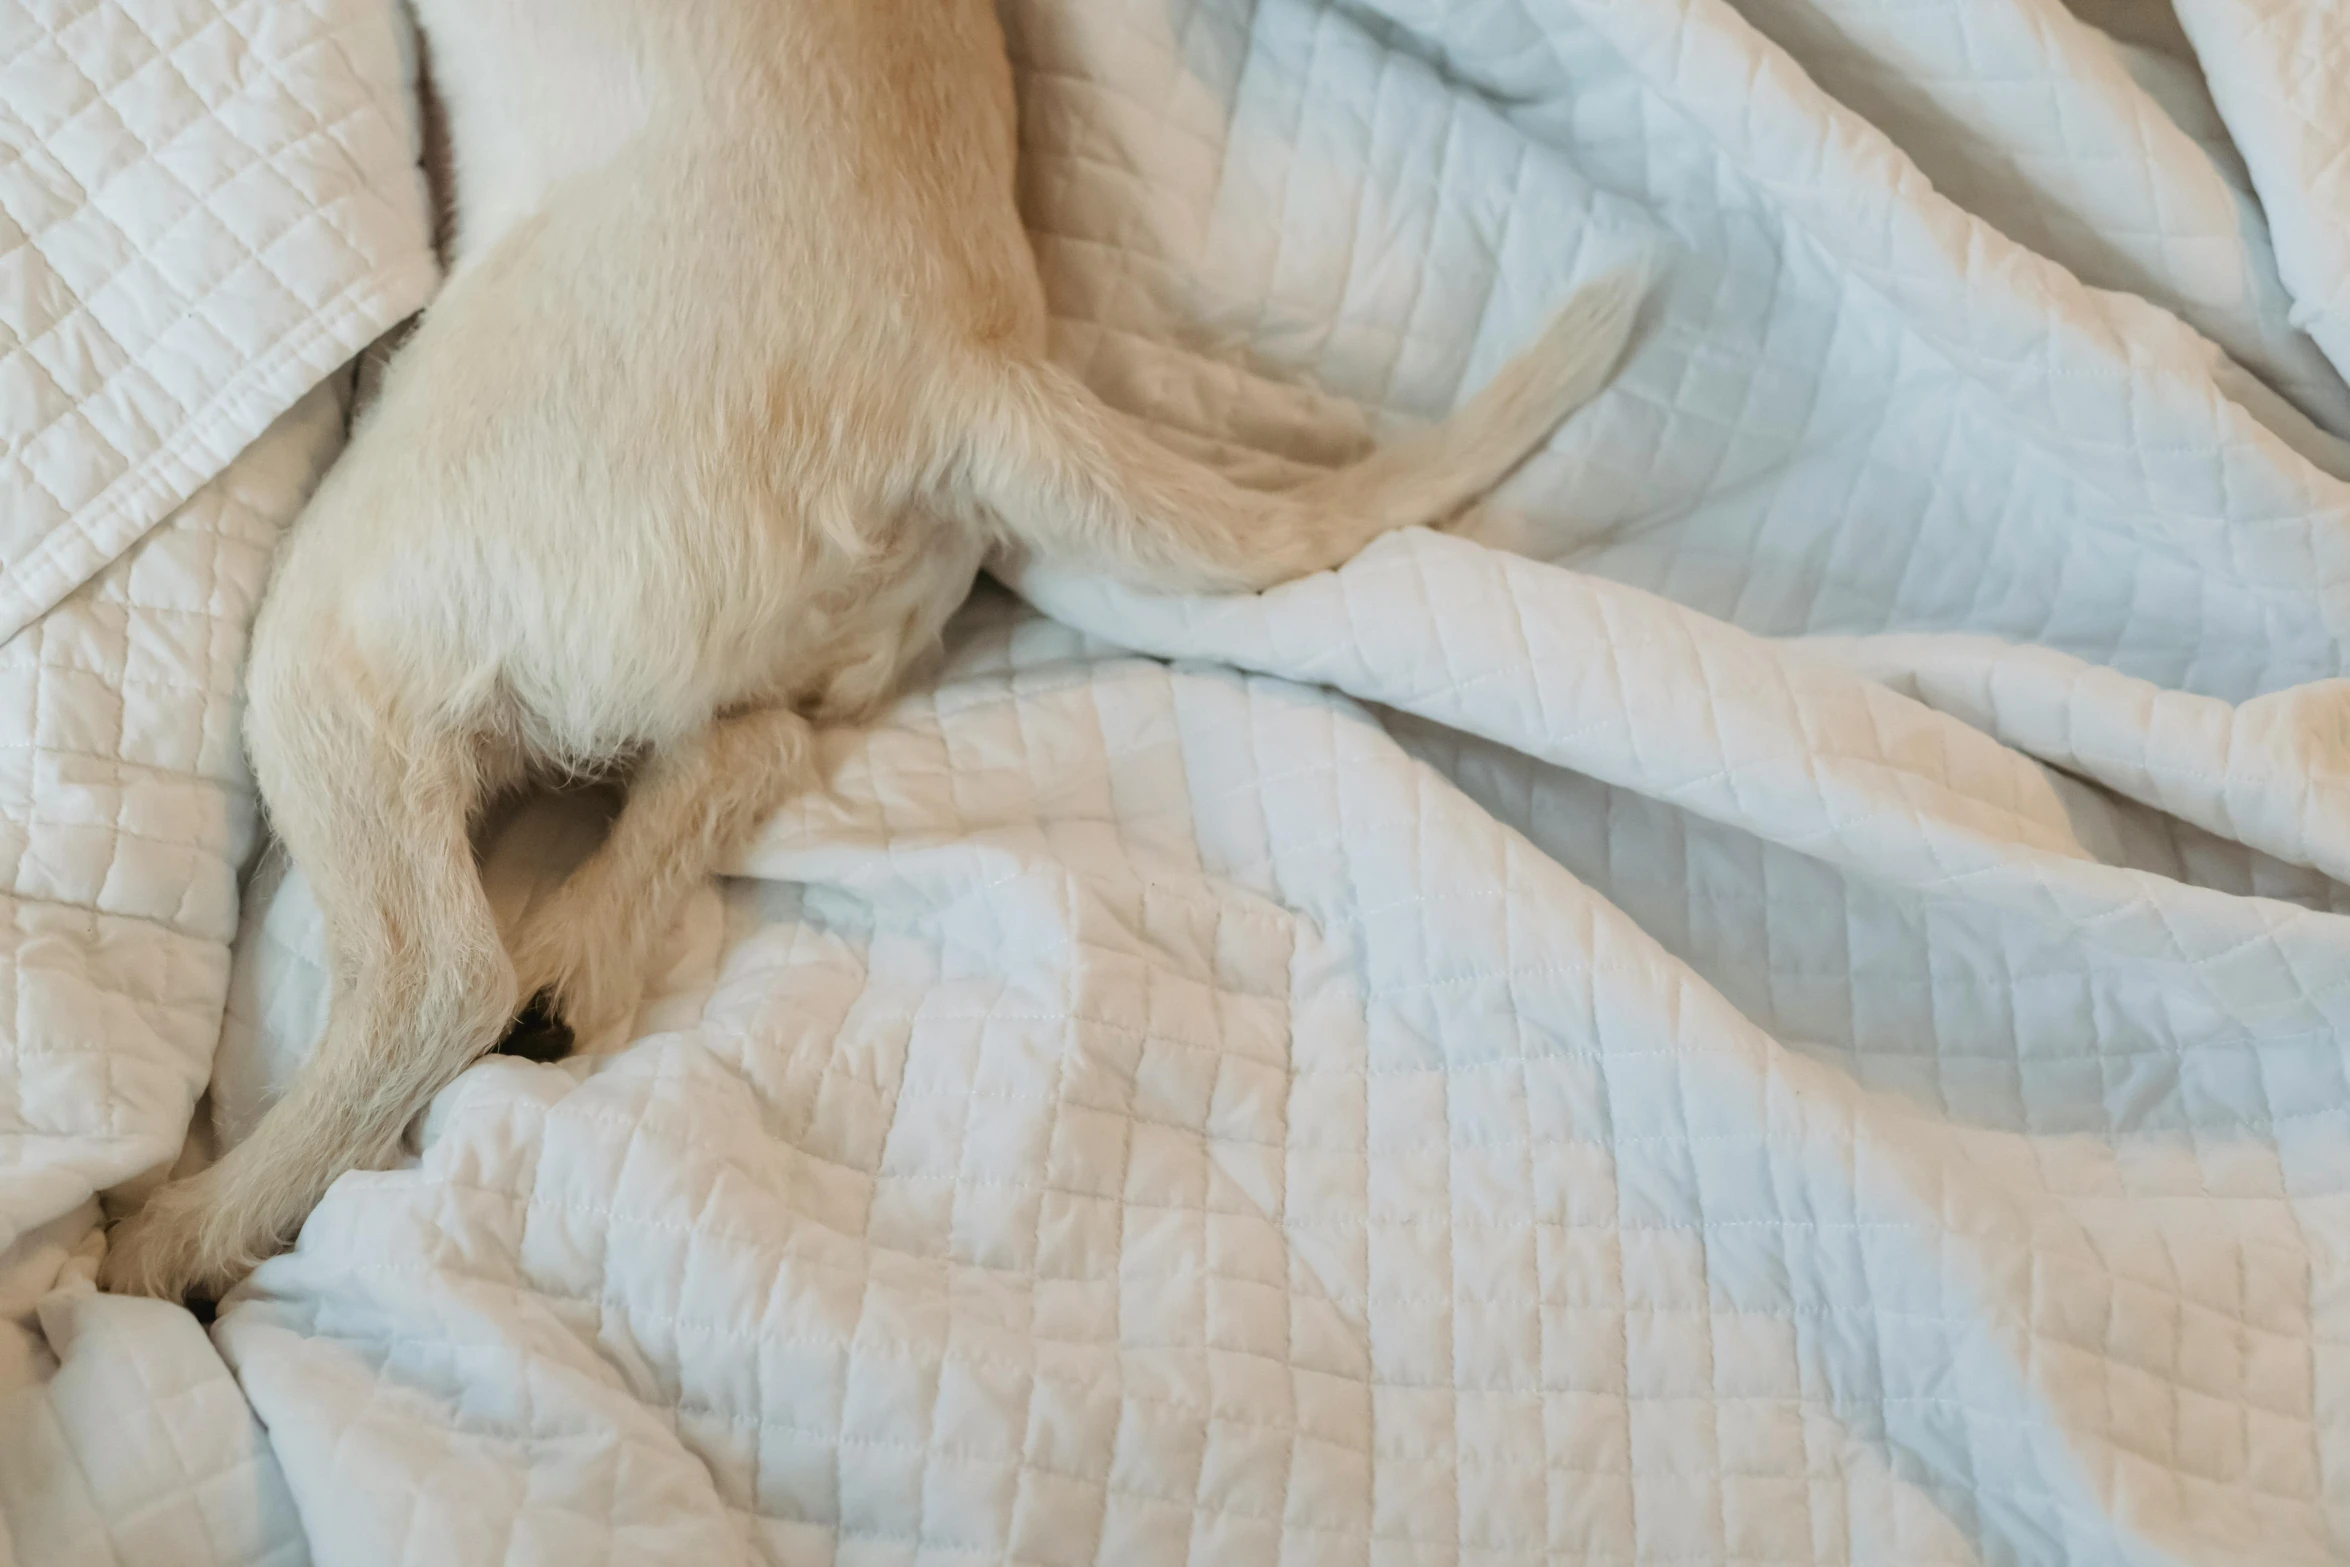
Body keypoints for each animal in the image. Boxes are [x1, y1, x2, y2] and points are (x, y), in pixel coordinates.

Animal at [101, 0, 1644, 1296]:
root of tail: (965, 373)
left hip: (350, 620)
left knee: (433, 976)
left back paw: (187, 1229)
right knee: (748, 750)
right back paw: (575, 963)